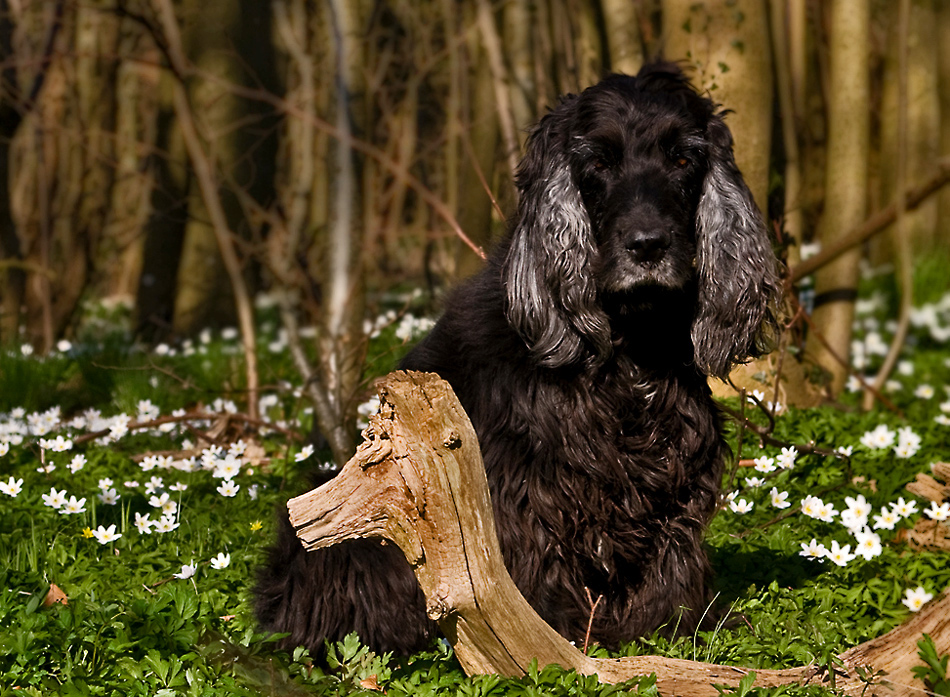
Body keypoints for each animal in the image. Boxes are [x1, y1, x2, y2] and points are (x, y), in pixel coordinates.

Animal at [255, 62, 780, 656]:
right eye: (599, 162)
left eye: (683, 159)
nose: (648, 245)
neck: (628, 349)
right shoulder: (525, 488)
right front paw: (553, 640)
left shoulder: (675, 474)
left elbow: (672, 557)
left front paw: (676, 625)